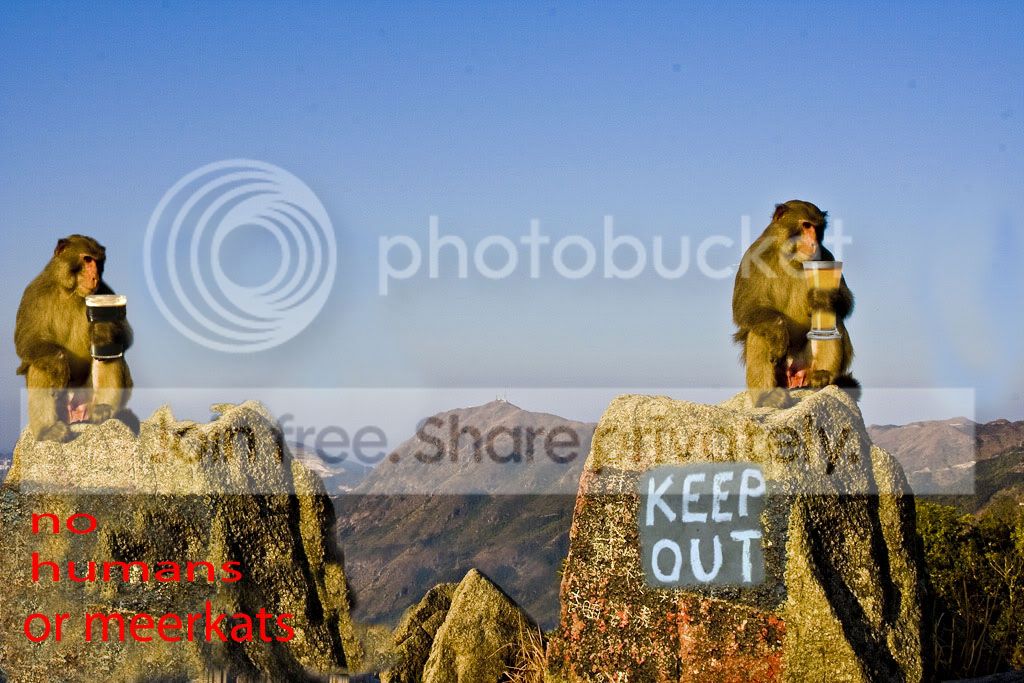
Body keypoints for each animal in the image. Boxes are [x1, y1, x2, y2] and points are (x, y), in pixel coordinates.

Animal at [14, 235, 135, 441]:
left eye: (98, 262)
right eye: (87, 259)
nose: (95, 277)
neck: (70, 290)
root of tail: (76, 413)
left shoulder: (105, 291)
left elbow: (125, 336)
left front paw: (102, 330)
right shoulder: (34, 293)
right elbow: (26, 340)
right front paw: (58, 363)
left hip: (88, 396)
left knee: (110, 355)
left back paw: (104, 408)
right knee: (39, 364)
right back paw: (48, 429)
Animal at [732, 200, 858, 408]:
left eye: (817, 228)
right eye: (806, 225)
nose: (814, 243)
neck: (789, 256)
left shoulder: (827, 257)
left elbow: (844, 302)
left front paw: (823, 296)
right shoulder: (751, 258)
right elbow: (745, 308)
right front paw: (778, 332)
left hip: (807, 364)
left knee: (833, 318)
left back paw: (824, 376)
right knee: (759, 330)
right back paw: (767, 395)